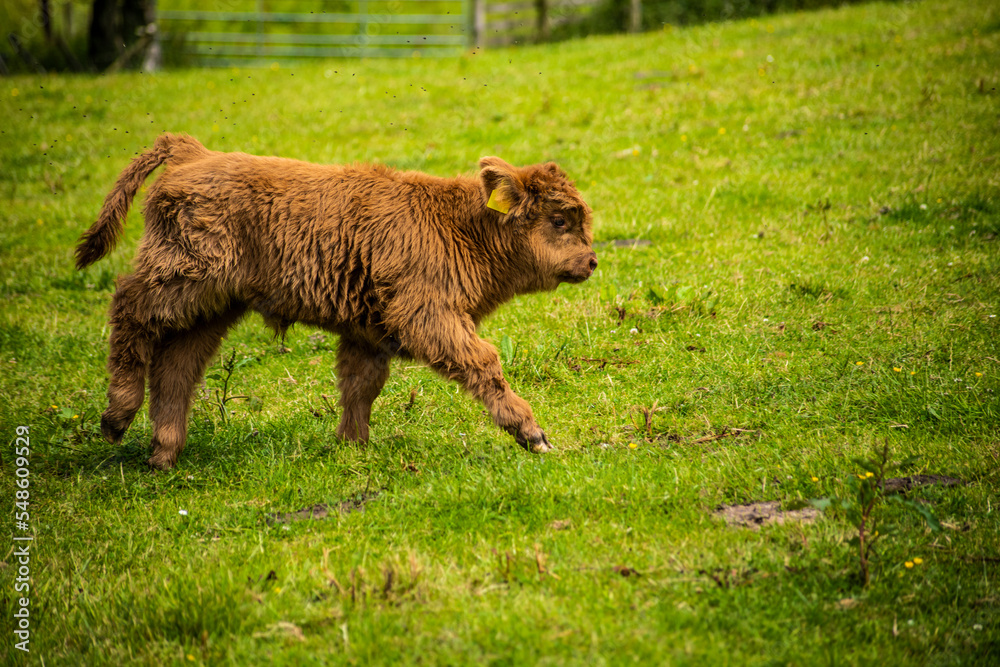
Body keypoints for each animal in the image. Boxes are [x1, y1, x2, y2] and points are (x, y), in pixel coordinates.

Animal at [78, 133, 596, 470]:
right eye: (559, 220)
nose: (591, 261)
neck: (458, 224)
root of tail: (194, 154)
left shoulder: (370, 334)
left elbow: (360, 387)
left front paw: (352, 446)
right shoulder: (427, 315)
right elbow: (483, 363)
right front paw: (533, 435)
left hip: (213, 306)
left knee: (177, 363)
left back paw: (163, 454)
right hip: (183, 280)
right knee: (128, 307)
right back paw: (116, 419)